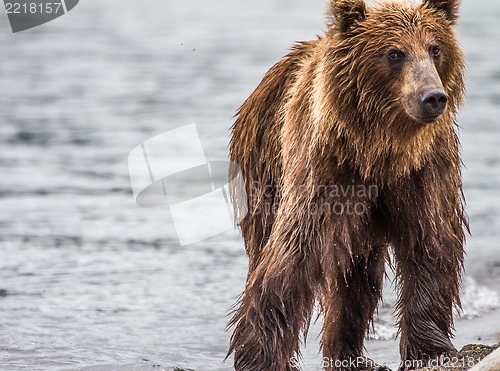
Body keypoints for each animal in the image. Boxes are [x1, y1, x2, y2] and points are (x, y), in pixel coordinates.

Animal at [229, 0, 466, 370]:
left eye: (435, 48)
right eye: (394, 53)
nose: (432, 97)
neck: (380, 151)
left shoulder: (424, 170)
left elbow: (431, 242)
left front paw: (432, 349)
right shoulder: (325, 171)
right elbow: (292, 256)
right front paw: (259, 355)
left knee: (357, 278)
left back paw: (350, 354)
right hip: (262, 172)